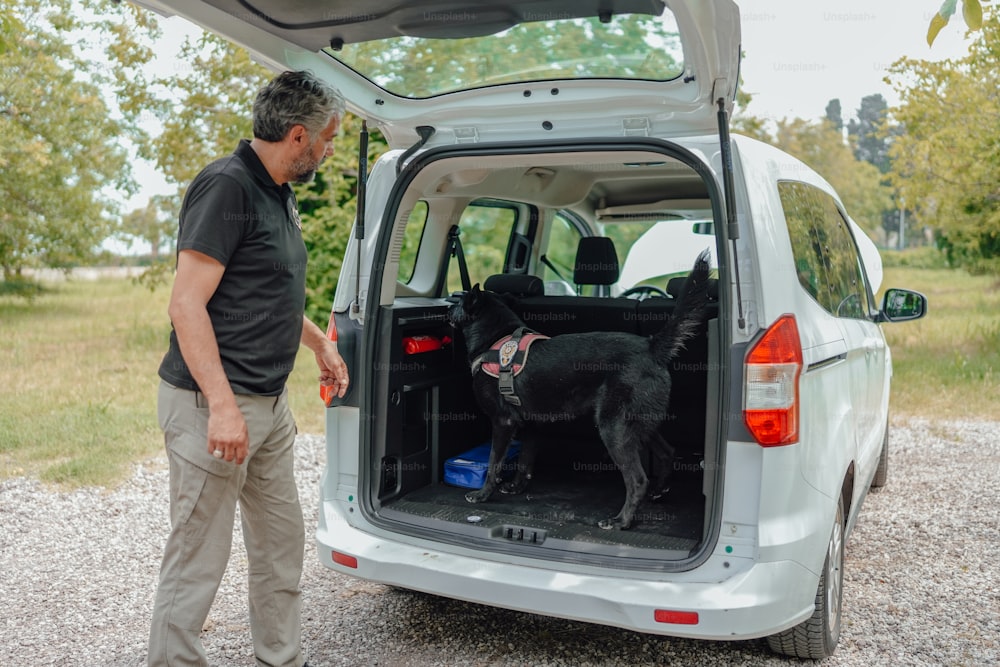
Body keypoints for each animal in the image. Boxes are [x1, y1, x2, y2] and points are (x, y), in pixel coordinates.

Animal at [446, 248, 712, 528]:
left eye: (458, 302)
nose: (447, 306)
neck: (497, 337)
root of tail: (652, 347)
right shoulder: (531, 422)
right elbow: (525, 460)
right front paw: (517, 487)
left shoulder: (502, 421)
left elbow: (494, 463)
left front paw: (483, 494)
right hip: (640, 423)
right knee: (667, 453)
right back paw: (659, 491)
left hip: (614, 428)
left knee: (638, 480)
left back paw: (621, 521)